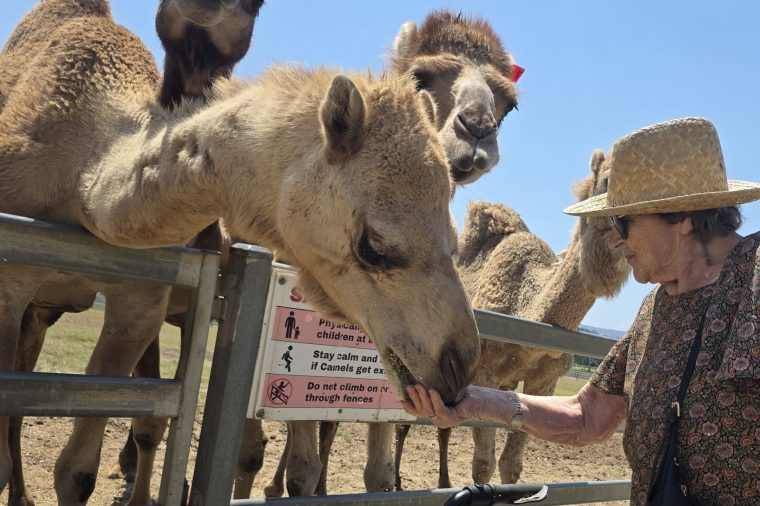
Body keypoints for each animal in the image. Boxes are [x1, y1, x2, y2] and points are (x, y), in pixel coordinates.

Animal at [0, 2, 481, 505]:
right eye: (372, 246)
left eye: (453, 240)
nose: (459, 364)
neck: (84, 179)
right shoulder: (11, 278)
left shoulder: (142, 301)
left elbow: (77, 471)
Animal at [255, 10, 522, 498]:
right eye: (420, 76)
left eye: (508, 103)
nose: (476, 128)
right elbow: (303, 465)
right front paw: (298, 485)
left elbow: (376, 472)